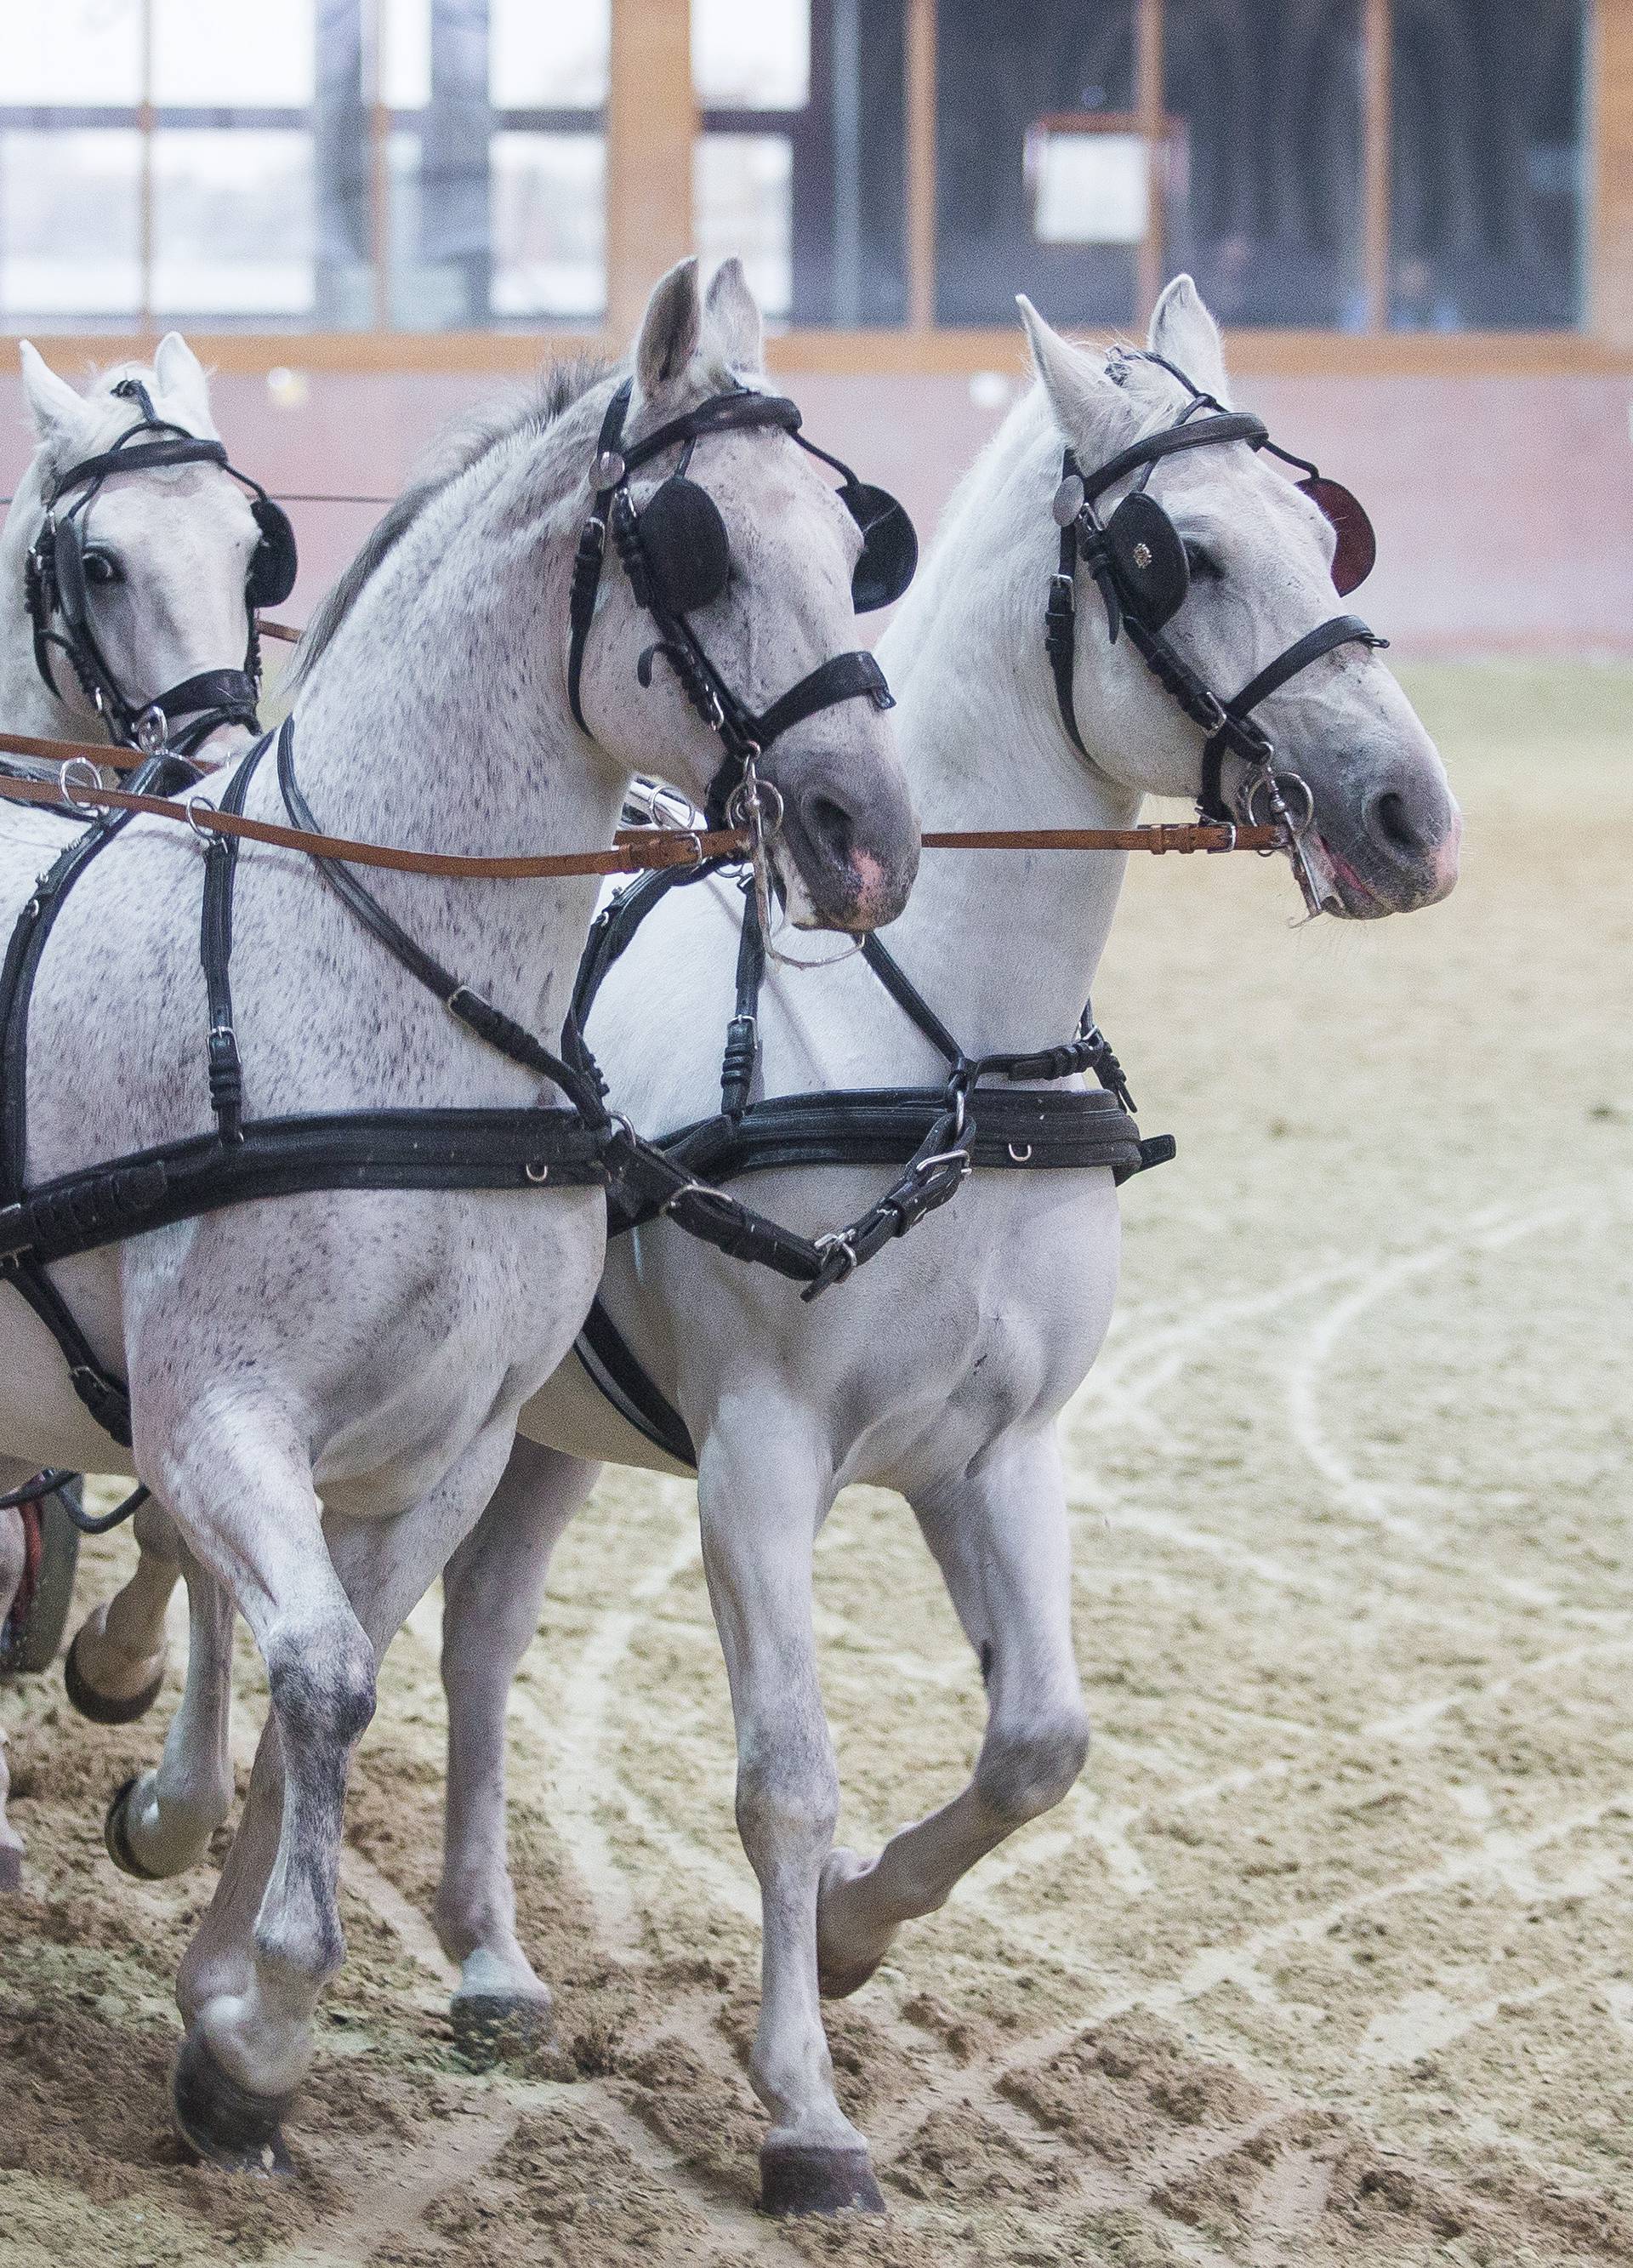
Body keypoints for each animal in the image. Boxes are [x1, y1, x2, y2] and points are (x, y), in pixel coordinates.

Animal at [0, 257, 916, 2168]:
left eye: (852, 534)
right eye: (700, 544)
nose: (872, 828)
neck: (389, 988)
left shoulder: (450, 1443)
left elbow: (338, 1675)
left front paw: (223, 2018)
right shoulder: (213, 1417)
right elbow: (325, 1671)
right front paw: (268, 2016)